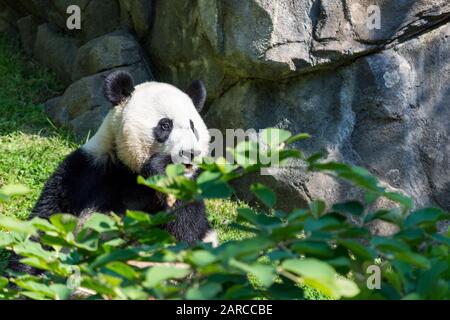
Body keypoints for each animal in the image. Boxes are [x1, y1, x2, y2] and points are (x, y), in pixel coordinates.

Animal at [30, 70, 217, 245]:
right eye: (165, 125)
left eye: (193, 127)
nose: (190, 153)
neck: (131, 173)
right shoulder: (84, 172)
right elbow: (48, 218)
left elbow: (185, 233)